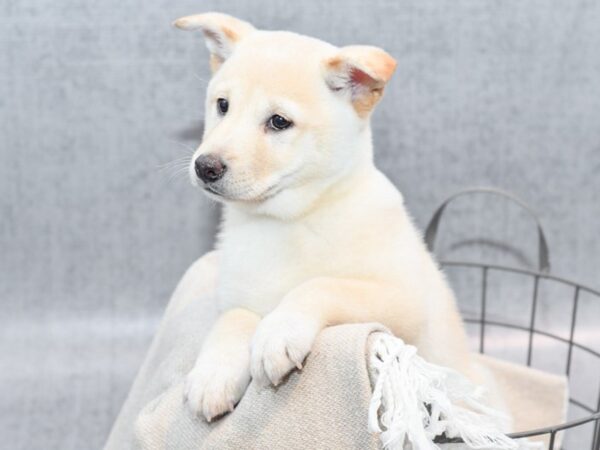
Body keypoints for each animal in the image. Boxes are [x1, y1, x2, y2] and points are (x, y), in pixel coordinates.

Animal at [173, 12, 496, 424]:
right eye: (223, 105)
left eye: (279, 122)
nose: (205, 167)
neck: (284, 222)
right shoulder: (234, 297)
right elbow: (233, 319)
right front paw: (213, 373)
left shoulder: (404, 303)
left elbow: (322, 285)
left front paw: (278, 332)